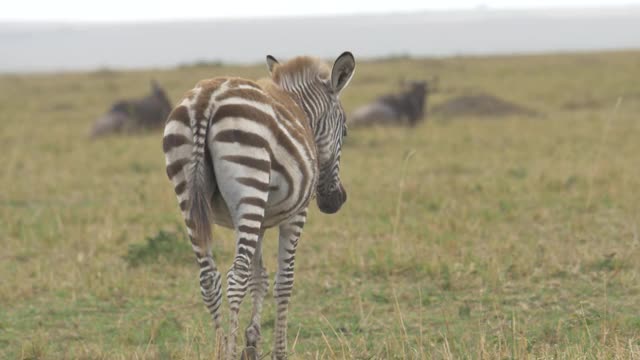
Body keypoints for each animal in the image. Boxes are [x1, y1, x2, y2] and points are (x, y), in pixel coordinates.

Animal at [162, 52, 356, 358]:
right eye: (345, 131)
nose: (335, 201)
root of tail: (206, 98)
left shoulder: (259, 220)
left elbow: (260, 277)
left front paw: (251, 342)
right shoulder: (296, 215)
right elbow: (283, 280)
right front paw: (279, 351)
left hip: (190, 194)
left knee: (209, 279)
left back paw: (220, 348)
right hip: (249, 180)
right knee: (235, 276)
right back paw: (229, 352)